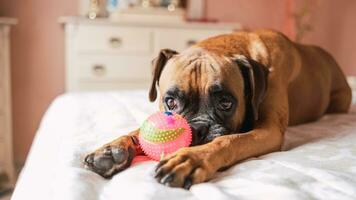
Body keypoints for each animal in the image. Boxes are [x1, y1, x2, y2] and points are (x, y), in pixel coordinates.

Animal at [82, 29, 350, 189]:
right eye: (171, 102)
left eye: (225, 103)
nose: (198, 129)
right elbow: (139, 131)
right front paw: (111, 150)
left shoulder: (269, 130)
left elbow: (229, 140)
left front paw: (190, 159)